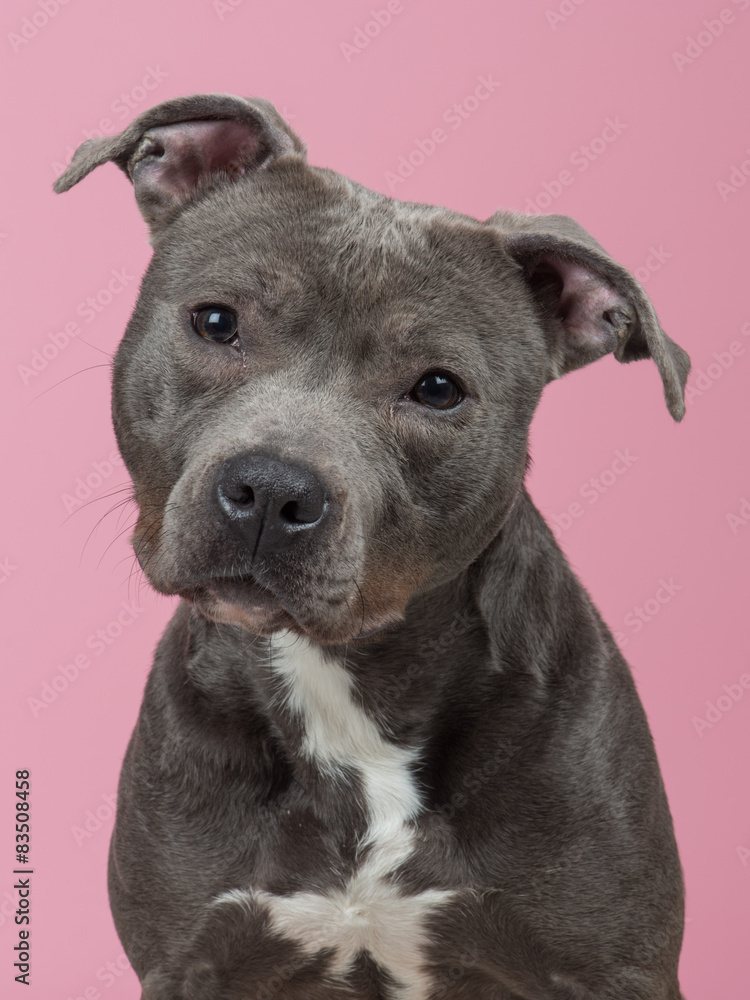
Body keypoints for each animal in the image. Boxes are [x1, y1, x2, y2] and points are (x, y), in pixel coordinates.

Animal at [55, 95, 692, 1000]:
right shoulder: (188, 962)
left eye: (438, 388)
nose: (271, 490)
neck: (346, 701)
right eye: (216, 322)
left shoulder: (613, 968)